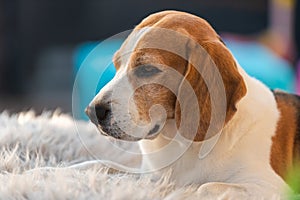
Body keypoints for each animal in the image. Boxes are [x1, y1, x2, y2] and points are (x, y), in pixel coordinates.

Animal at [85, 10, 300, 198]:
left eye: (148, 69)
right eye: (116, 65)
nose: (92, 112)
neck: (178, 142)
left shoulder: (270, 187)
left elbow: (203, 188)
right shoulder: (148, 175)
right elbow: (97, 164)